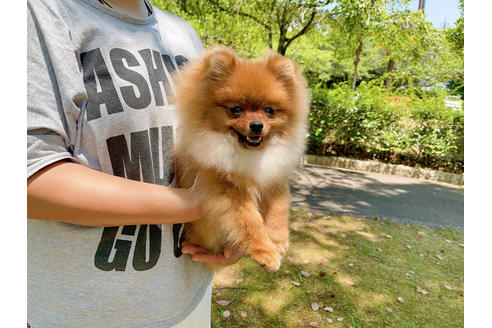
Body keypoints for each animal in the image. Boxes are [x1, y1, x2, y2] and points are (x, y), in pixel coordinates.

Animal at [173, 46, 310, 272]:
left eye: (269, 111)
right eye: (236, 110)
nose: (256, 125)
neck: (251, 154)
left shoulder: (275, 180)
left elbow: (278, 212)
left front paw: (278, 240)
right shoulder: (228, 189)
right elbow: (251, 221)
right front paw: (266, 252)